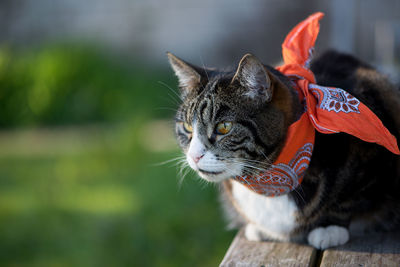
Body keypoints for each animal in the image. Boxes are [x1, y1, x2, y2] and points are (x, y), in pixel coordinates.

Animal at [167, 49, 400, 250]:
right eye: (187, 127)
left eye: (224, 127)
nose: (194, 156)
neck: (268, 181)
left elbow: (349, 198)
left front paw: (330, 228)